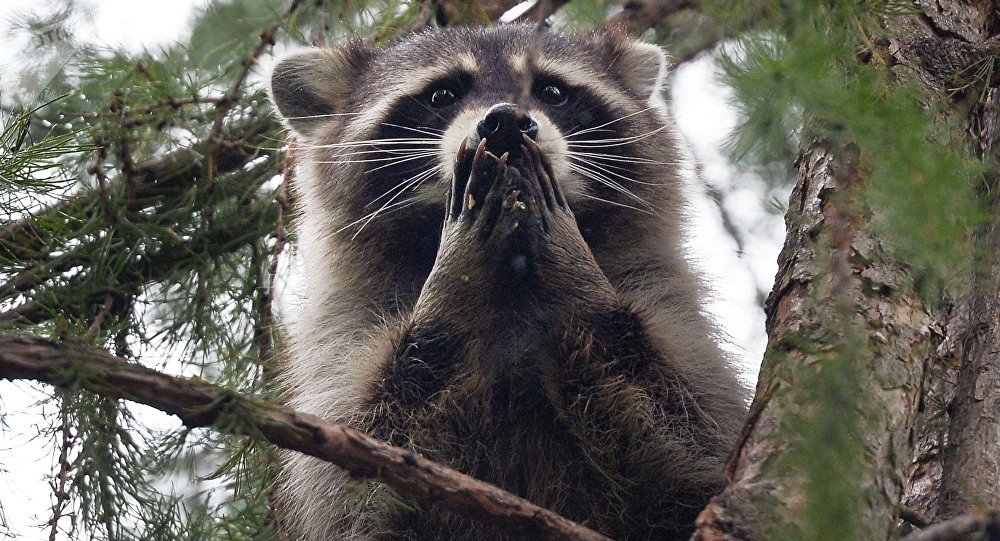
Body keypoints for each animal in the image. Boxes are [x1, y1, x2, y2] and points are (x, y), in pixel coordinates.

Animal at [270, 24, 748, 540]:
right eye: (442, 94)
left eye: (552, 91)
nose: (505, 122)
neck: (513, 279)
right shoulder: (343, 334)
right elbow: (360, 485)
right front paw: (453, 284)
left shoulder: (665, 298)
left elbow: (686, 454)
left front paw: (576, 280)